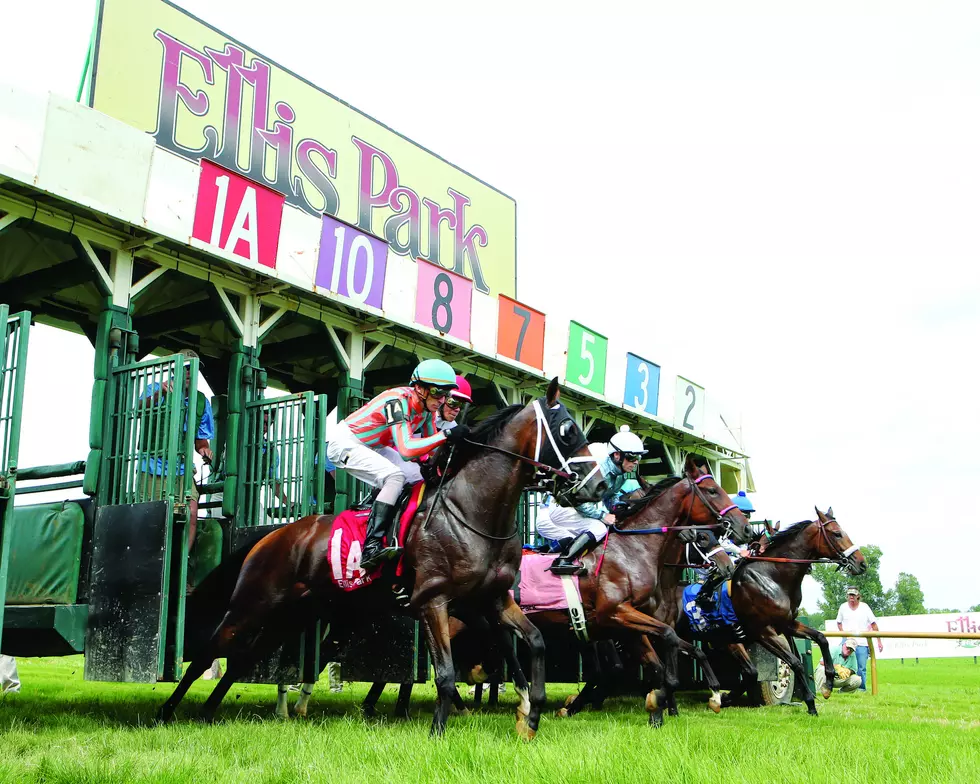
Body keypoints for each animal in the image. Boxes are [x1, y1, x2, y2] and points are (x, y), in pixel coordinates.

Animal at [159, 376, 604, 740]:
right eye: (568, 430)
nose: (598, 486)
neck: (472, 510)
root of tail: (274, 534)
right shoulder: (433, 601)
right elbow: (445, 674)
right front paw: (438, 733)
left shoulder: (492, 599)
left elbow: (535, 642)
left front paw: (531, 717)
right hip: (252, 604)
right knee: (207, 654)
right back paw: (168, 712)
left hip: (294, 614)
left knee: (239, 661)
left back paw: (210, 712)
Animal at [528, 456, 752, 724]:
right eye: (712, 490)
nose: (746, 528)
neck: (632, 548)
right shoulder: (614, 614)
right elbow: (664, 645)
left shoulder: (628, 624)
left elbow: (665, 660)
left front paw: (663, 709)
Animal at [668, 508, 868, 716]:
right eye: (837, 534)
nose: (861, 563)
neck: (772, 576)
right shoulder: (764, 632)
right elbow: (794, 662)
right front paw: (810, 703)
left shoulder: (787, 625)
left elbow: (821, 638)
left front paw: (828, 684)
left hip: (724, 638)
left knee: (748, 671)